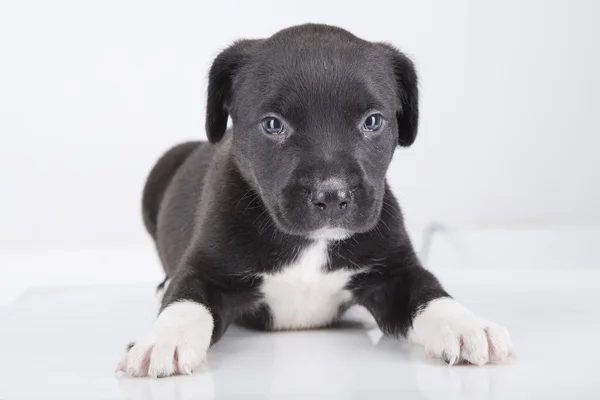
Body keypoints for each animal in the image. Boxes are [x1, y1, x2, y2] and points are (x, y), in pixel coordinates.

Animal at [118, 22, 516, 378]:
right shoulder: (206, 268)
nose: (332, 194)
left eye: (373, 121)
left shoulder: (396, 271)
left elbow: (430, 293)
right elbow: (187, 300)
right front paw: (164, 338)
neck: (312, 242)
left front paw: (467, 326)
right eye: (273, 124)